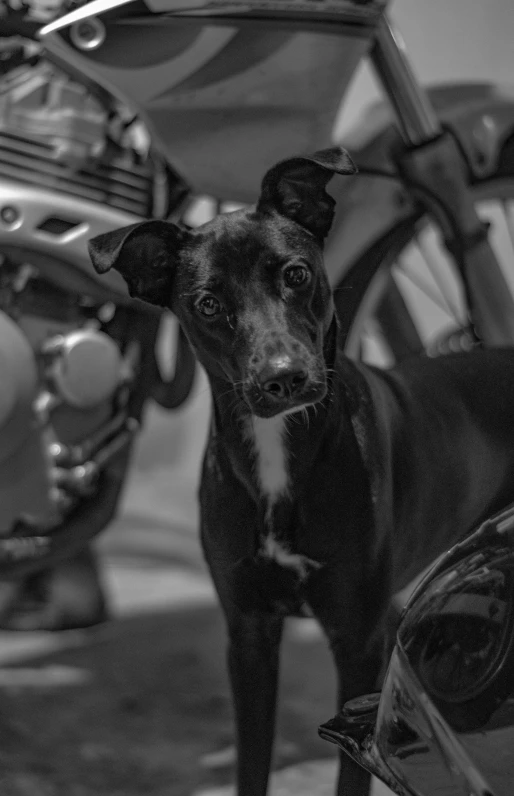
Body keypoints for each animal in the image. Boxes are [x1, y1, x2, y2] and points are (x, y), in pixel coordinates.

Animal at [88, 148, 514, 788]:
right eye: (208, 303)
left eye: (295, 274)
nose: (283, 378)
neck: (278, 456)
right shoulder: (248, 634)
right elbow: (252, 765)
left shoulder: (358, 643)